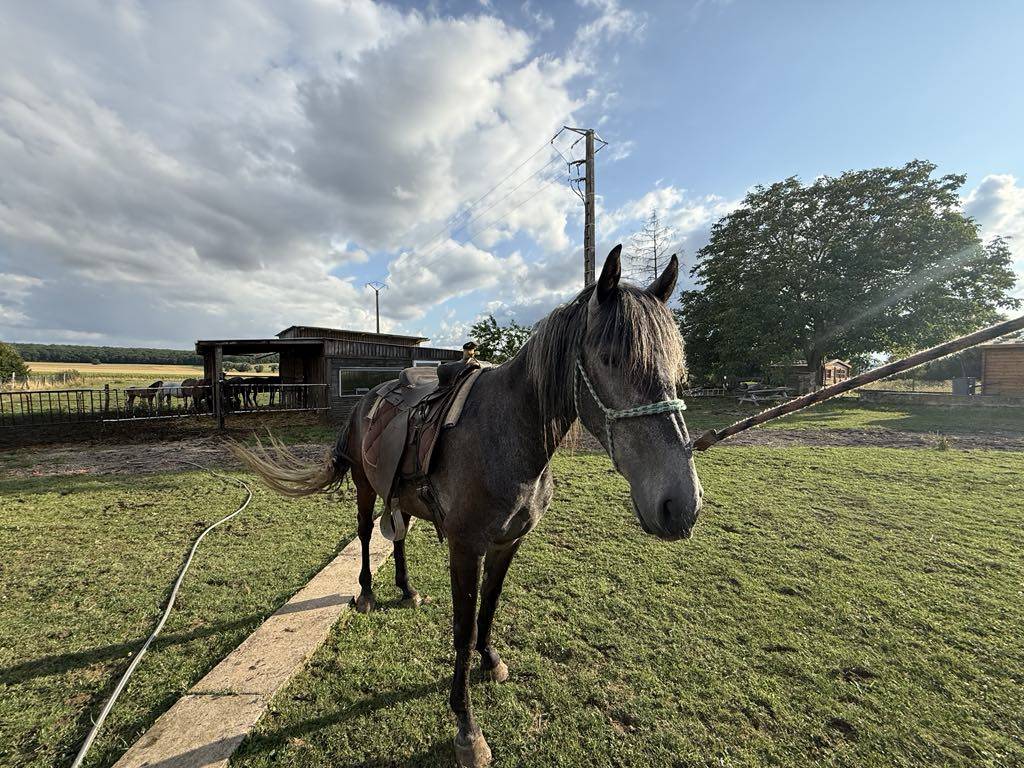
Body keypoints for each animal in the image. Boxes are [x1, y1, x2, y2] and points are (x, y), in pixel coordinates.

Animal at [233, 246, 702, 767]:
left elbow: (488, 609)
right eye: (610, 357)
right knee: (366, 533)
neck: (506, 434)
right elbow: (461, 627)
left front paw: (490, 660)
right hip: (364, 486)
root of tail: (366, 400)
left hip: (399, 495)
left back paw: (406, 588)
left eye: (678, 368)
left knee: (397, 535)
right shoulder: (465, 548)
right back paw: (370, 592)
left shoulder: (506, 544)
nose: (680, 505)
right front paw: (466, 725)